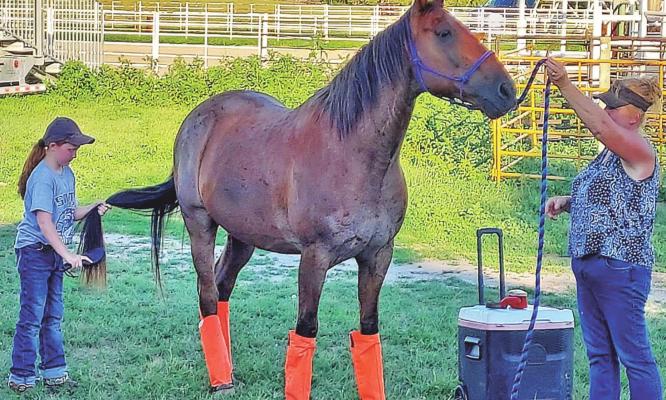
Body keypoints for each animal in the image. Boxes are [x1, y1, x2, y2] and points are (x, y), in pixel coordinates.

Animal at [102, 0, 517, 397]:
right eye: (444, 32)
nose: (507, 91)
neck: (353, 156)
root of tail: (197, 118)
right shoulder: (314, 258)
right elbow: (306, 330)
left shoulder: (378, 255)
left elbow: (368, 330)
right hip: (199, 223)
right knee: (206, 295)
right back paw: (220, 380)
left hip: (243, 237)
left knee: (222, 290)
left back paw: (229, 371)